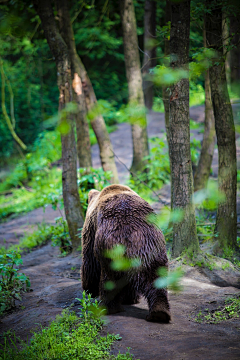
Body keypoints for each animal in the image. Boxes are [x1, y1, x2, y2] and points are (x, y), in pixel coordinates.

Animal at [80, 184, 171, 322]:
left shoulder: (91, 229)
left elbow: (90, 262)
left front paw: (89, 288)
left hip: (110, 248)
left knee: (109, 279)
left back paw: (108, 307)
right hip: (153, 247)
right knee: (156, 278)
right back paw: (159, 313)